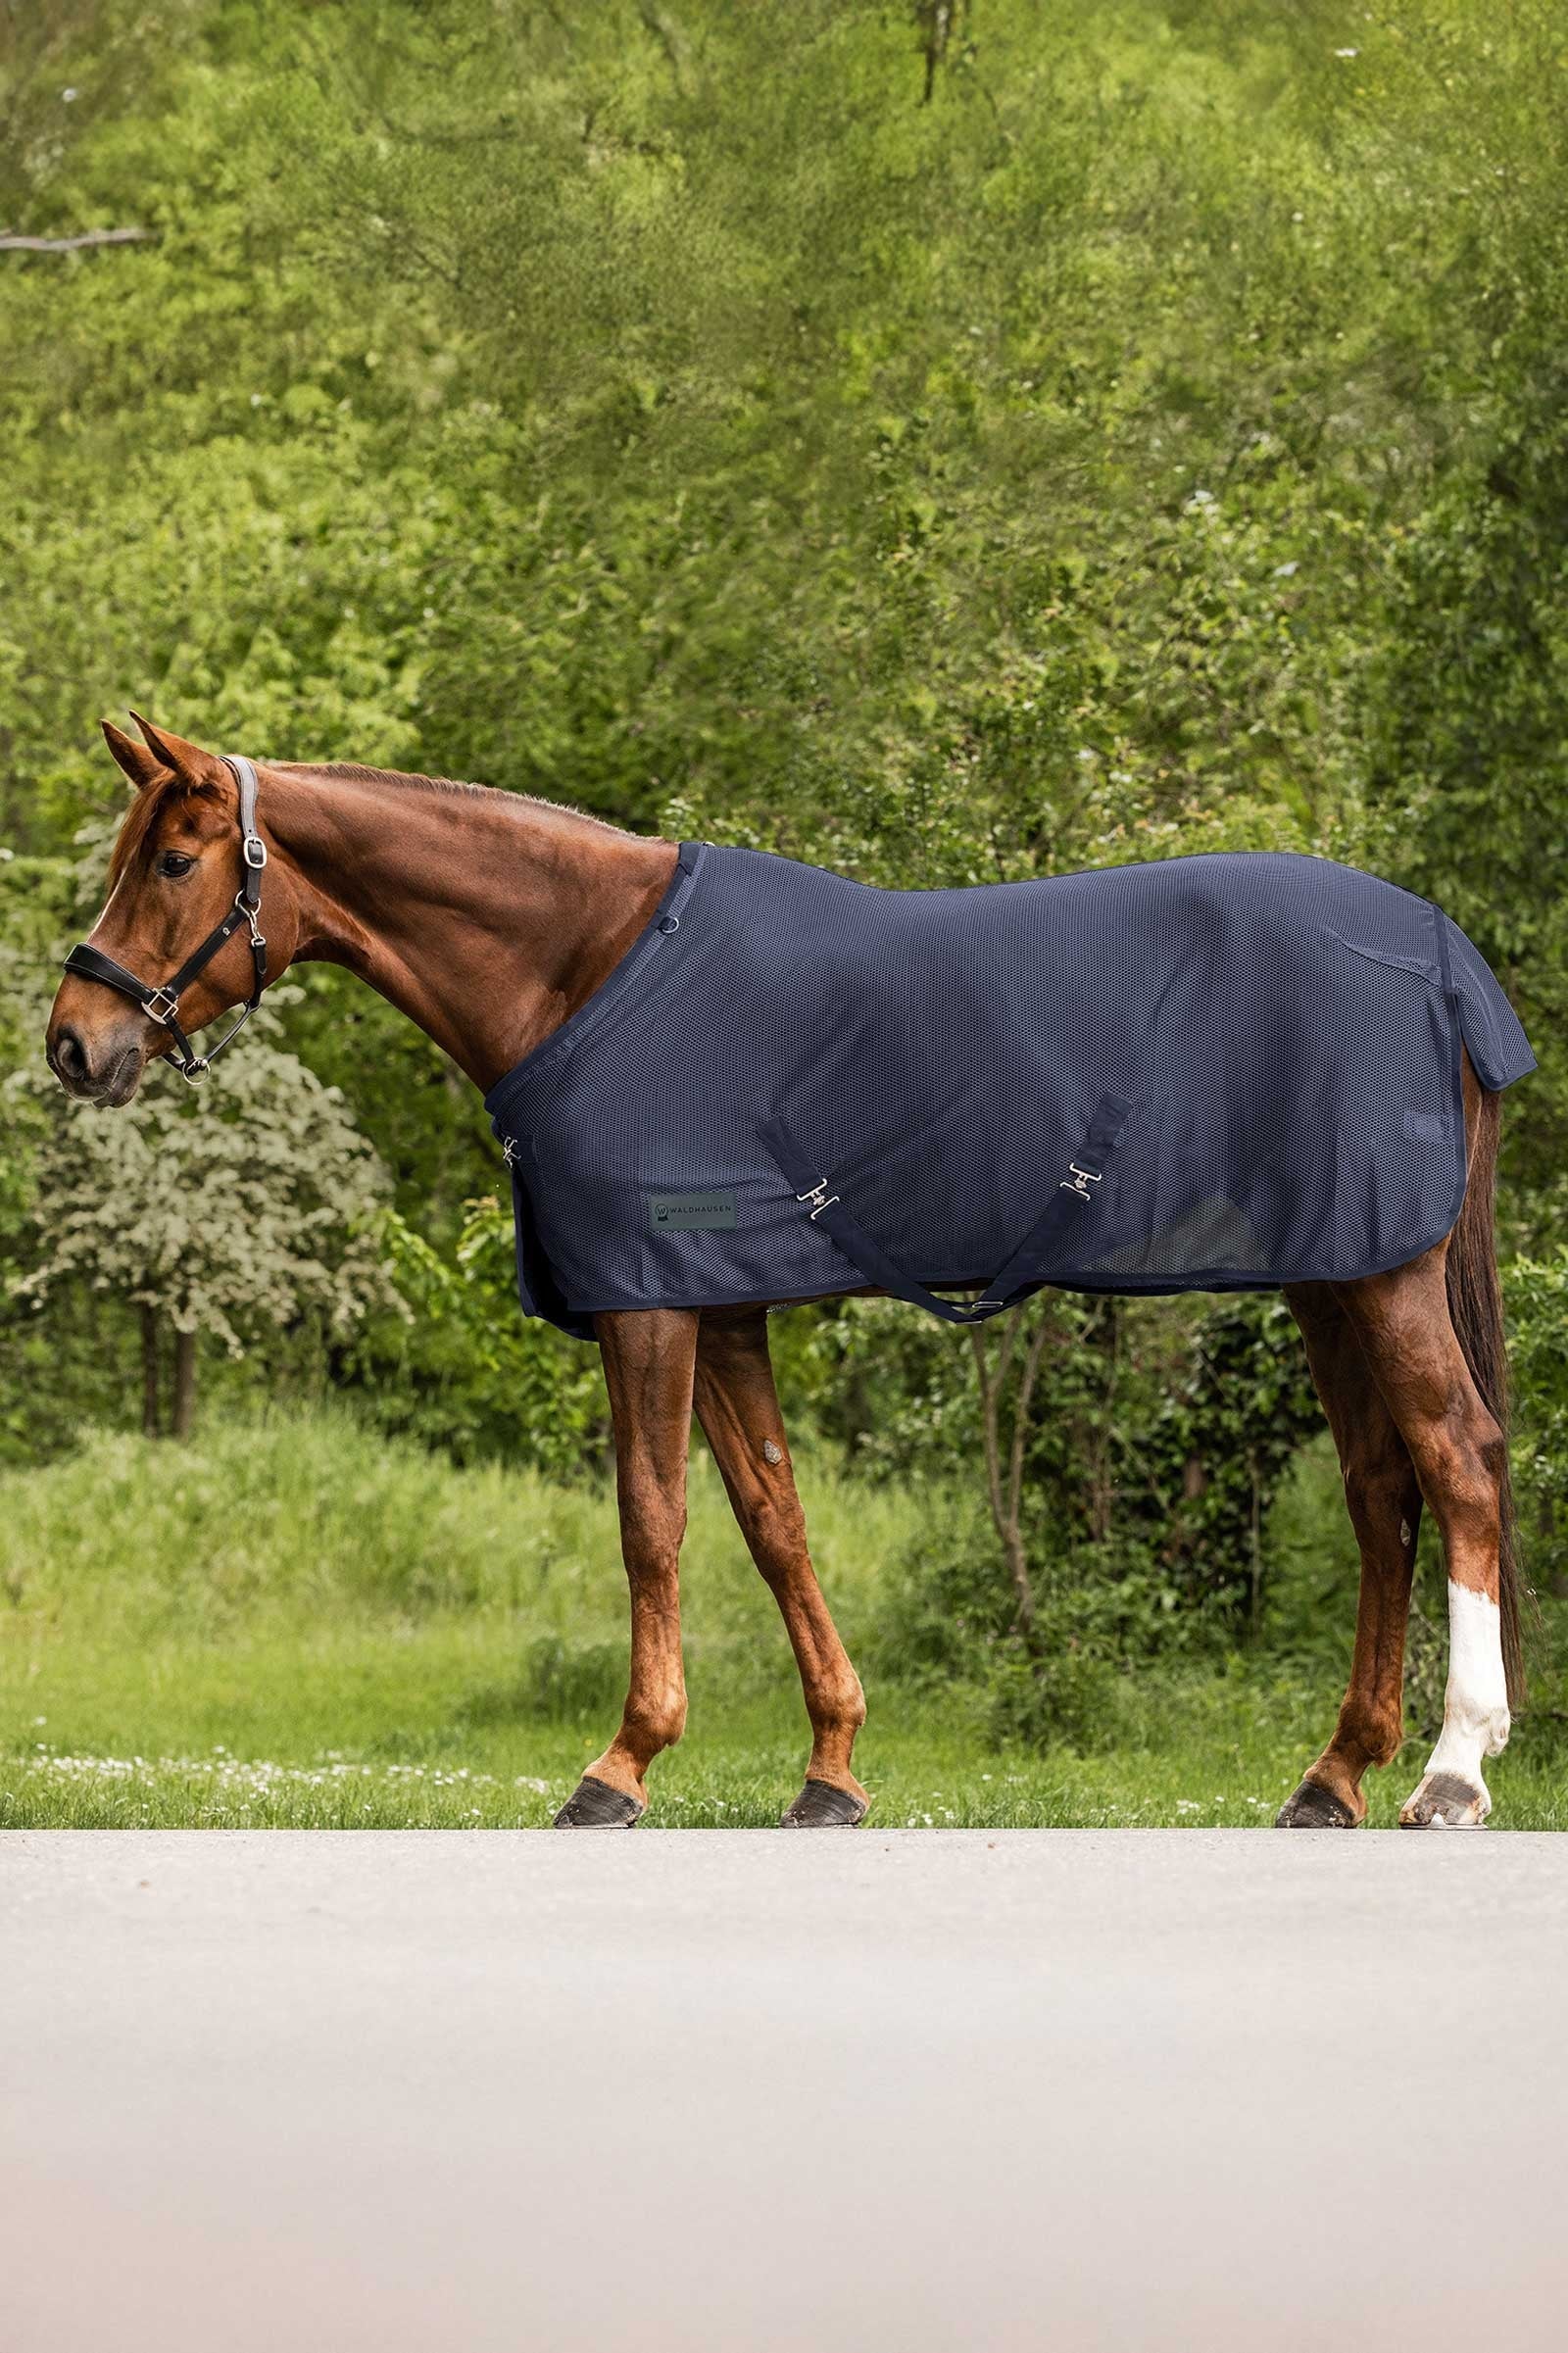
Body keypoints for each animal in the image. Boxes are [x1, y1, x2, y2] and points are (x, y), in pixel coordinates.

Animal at [45, 714, 1527, 1832]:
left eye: (172, 858)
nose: (72, 1041)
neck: (588, 966)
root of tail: (1442, 956)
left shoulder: (649, 1303)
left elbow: (652, 1521)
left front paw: (621, 1764)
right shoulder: (726, 1308)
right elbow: (774, 1521)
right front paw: (831, 1768)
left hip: (1384, 1276)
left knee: (1456, 1460)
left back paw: (1452, 1769)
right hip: (1333, 1274)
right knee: (1380, 1489)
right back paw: (1334, 1775)